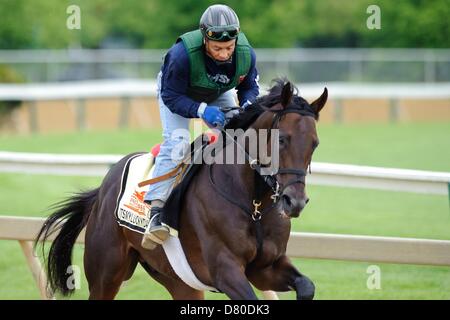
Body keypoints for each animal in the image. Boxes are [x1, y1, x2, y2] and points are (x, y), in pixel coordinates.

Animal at [36, 80, 326, 300]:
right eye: (282, 139)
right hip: (105, 273)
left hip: (179, 279)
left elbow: (307, 286)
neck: (253, 203)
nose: (294, 202)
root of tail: (102, 190)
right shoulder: (225, 270)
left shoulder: (266, 267)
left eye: (315, 143)